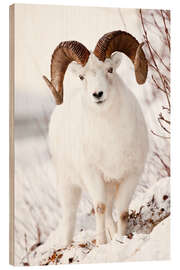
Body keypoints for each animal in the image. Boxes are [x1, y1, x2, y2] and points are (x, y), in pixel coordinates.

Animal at [43, 31, 148, 247]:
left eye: (110, 69)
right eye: (82, 76)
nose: (97, 94)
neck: (111, 140)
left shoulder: (130, 175)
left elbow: (122, 212)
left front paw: (120, 239)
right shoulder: (93, 175)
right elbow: (99, 208)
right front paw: (101, 243)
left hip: (109, 186)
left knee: (109, 214)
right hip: (68, 186)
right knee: (71, 217)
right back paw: (67, 245)